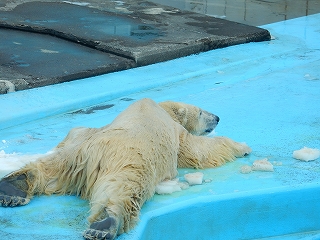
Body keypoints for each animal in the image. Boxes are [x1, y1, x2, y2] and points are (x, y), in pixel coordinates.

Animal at [0, 98, 250, 239]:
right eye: (200, 112)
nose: (217, 117)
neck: (158, 106)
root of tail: (93, 157)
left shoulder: (87, 133)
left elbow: (77, 131)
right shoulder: (174, 131)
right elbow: (196, 151)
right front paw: (243, 147)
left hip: (75, 157)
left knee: (49, 166)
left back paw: (14, 187)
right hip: (131, 160)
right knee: (125, 190)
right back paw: (105, 224)